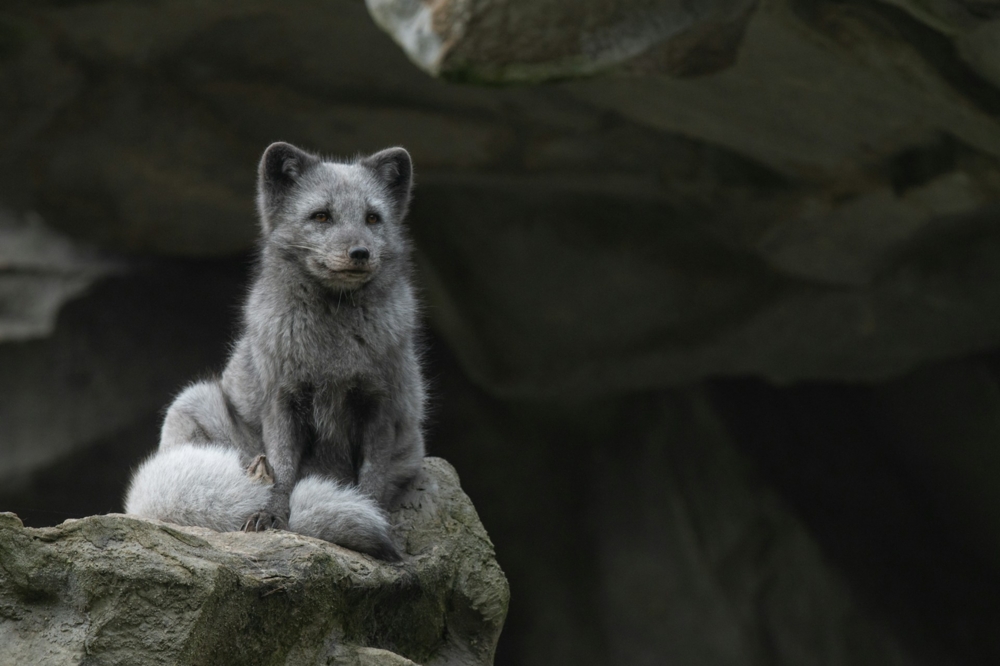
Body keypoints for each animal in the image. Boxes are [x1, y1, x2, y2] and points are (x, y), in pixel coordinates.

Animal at [124, 142, 426, 561]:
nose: (360, 252)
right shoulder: (282, 400)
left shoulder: (379, 407)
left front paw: (369, 512)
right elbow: (283, 470)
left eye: (372, 218)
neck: (332, 345)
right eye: (321, 216)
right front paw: (272, 517)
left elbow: (372, 478)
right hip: (192, 402)